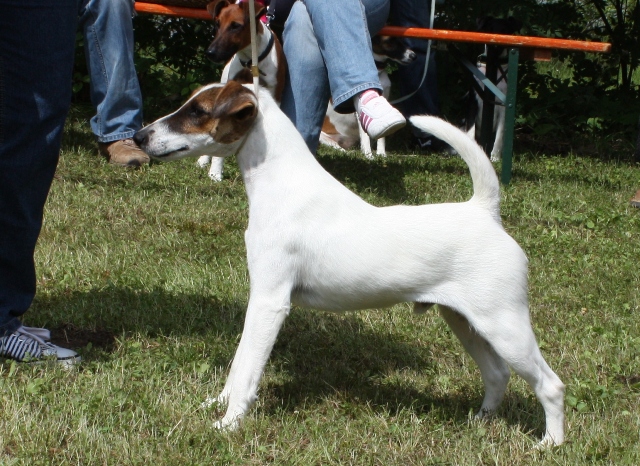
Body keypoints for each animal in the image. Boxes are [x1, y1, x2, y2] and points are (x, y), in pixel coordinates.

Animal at [135, 82, 564, 446]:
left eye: (197, 111)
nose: (139, 136)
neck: (281, 183)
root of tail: (484, 211)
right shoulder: (258, 299)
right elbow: (238, 361)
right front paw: (218, 404)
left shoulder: (270, 302)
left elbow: (248, 368)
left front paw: (229, 423)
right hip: (465, 321)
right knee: (497, 373)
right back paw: (480, 420)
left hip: (504, 324)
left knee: (550, 385)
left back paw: (550, 444)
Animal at [195, 0, 284, 180]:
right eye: (217, 24)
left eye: (235, 26)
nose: (210, 52)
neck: (251, 60)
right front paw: (215, 172)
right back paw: (203, 159)